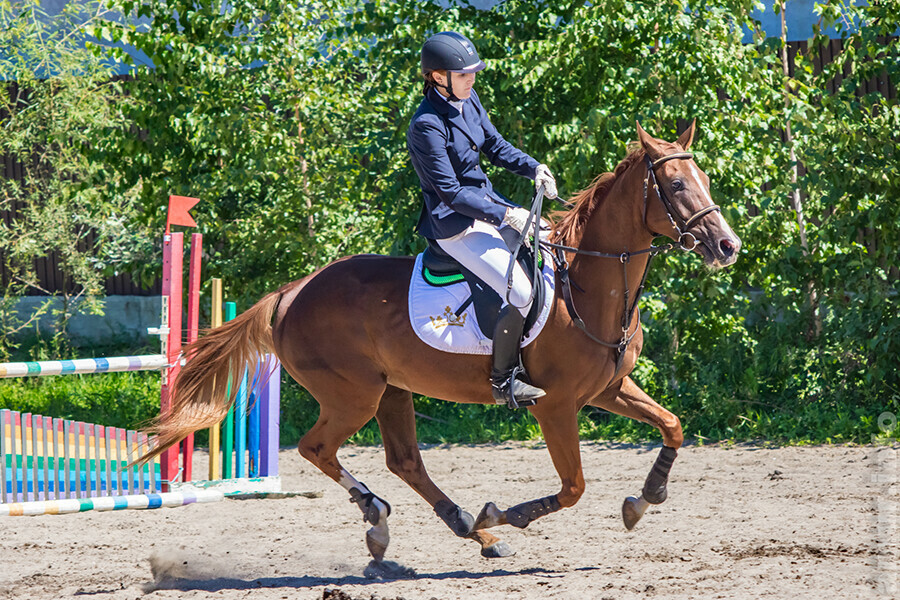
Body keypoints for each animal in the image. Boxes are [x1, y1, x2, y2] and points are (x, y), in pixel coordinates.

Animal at [144, 120, 740, 564]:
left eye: (705, 178)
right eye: (677, 186)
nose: (727, 246)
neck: (588, 285)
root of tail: (293, 291)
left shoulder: (609, 389)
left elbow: (673, 426)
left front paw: (645, 498)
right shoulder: (557, 406)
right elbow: (573, 486)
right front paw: (507, 513)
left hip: (391, 390)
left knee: (406, 461)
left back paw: (465, 530)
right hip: (353, 395)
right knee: (319, 449)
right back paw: (390, 519)